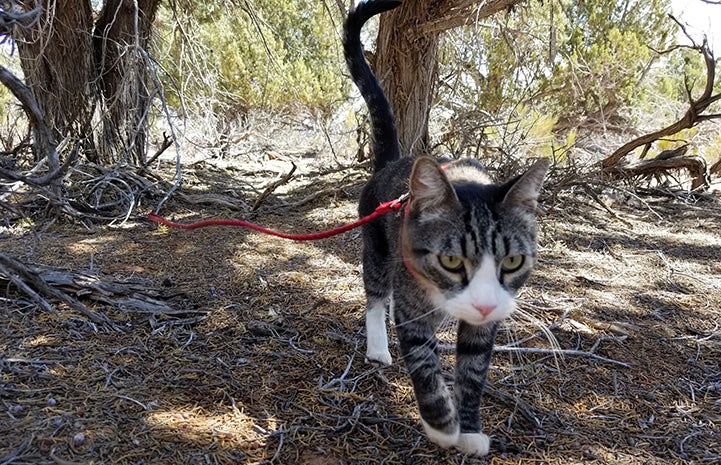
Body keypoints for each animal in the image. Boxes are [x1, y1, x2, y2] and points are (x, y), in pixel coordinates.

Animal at [344, 0, 552, 456]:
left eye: (513, 261)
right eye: (452, 260)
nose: (485, 304)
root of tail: (392, 163)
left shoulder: (484, 325)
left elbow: (473, 373)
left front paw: (469, 430)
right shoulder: (413, 307)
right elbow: (424, 365)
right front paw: (442, 424)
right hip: (377, 247)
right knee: (376, 294)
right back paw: (378, 345)